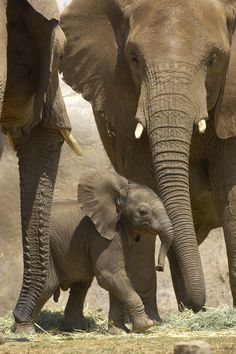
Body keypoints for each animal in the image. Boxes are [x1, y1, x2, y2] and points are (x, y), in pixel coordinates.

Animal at [30, 169, 173, 334]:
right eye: (142, 212)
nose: (159, 267)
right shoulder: (101, 236)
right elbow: (110, 274)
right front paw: (146, 325)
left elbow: (119, 276)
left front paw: (118, 332)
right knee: (48, 285)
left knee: (80, 285)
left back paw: (75, 329)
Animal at [60, 0, 236, 316]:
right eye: (134, 59)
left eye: (215, 59)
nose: (198, 307)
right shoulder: (124, 101)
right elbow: (143, 185)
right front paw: (151, 319)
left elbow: (231, 198)